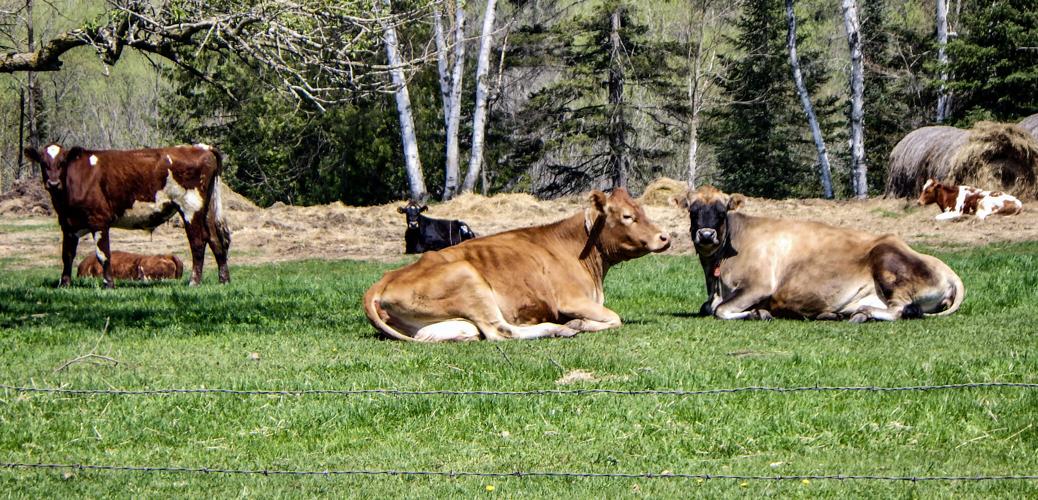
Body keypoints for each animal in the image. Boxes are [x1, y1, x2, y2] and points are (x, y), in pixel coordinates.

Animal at [23, 143, 231, 288]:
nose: (53, 182)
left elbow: (103, 255)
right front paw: (64, 284)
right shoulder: (67, 225)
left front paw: (109, 284)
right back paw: (224, 280)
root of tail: (201, 147)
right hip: (206, 210)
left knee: (198, 243)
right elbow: (67, 255)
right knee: (215, 240)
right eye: (43, 163)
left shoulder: (99, 220)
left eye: (62, 162)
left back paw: (194, 281)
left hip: (190, 207)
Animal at [366, 188, 671, 342]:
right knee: (500, 331)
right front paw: (578, 323)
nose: (665, 237)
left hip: (447, 324)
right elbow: (614, 319)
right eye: (627, 216)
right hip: (469, 280)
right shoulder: (572, 300)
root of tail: (381, 281)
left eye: (643, 210)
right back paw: (561, 329)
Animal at [674, 185, 964, 323]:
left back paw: (863, 313)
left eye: (721, 212)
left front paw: (759, 313)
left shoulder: (758, 286)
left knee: (900, 309)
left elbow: (720, 310)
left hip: (888, 262)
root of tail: (947, 270)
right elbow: (708, 307)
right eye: (693, 211)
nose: (706, 235)